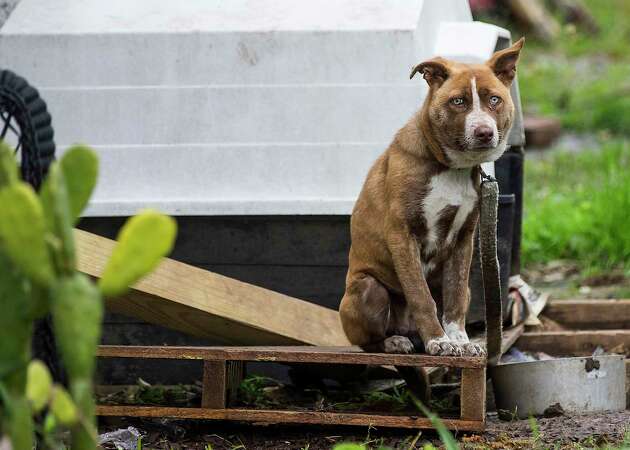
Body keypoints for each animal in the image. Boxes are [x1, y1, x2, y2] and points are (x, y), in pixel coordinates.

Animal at [338, 37, 524, 356]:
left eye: (494, 99)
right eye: (458, 101)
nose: (484, 132)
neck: (452, 168)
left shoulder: (464, 239)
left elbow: (455, 295)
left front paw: (459, 340)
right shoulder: (402, 234)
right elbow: (420, 295)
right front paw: (439, 340)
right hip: (367, 289)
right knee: (367, 341)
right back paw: (394, 341)